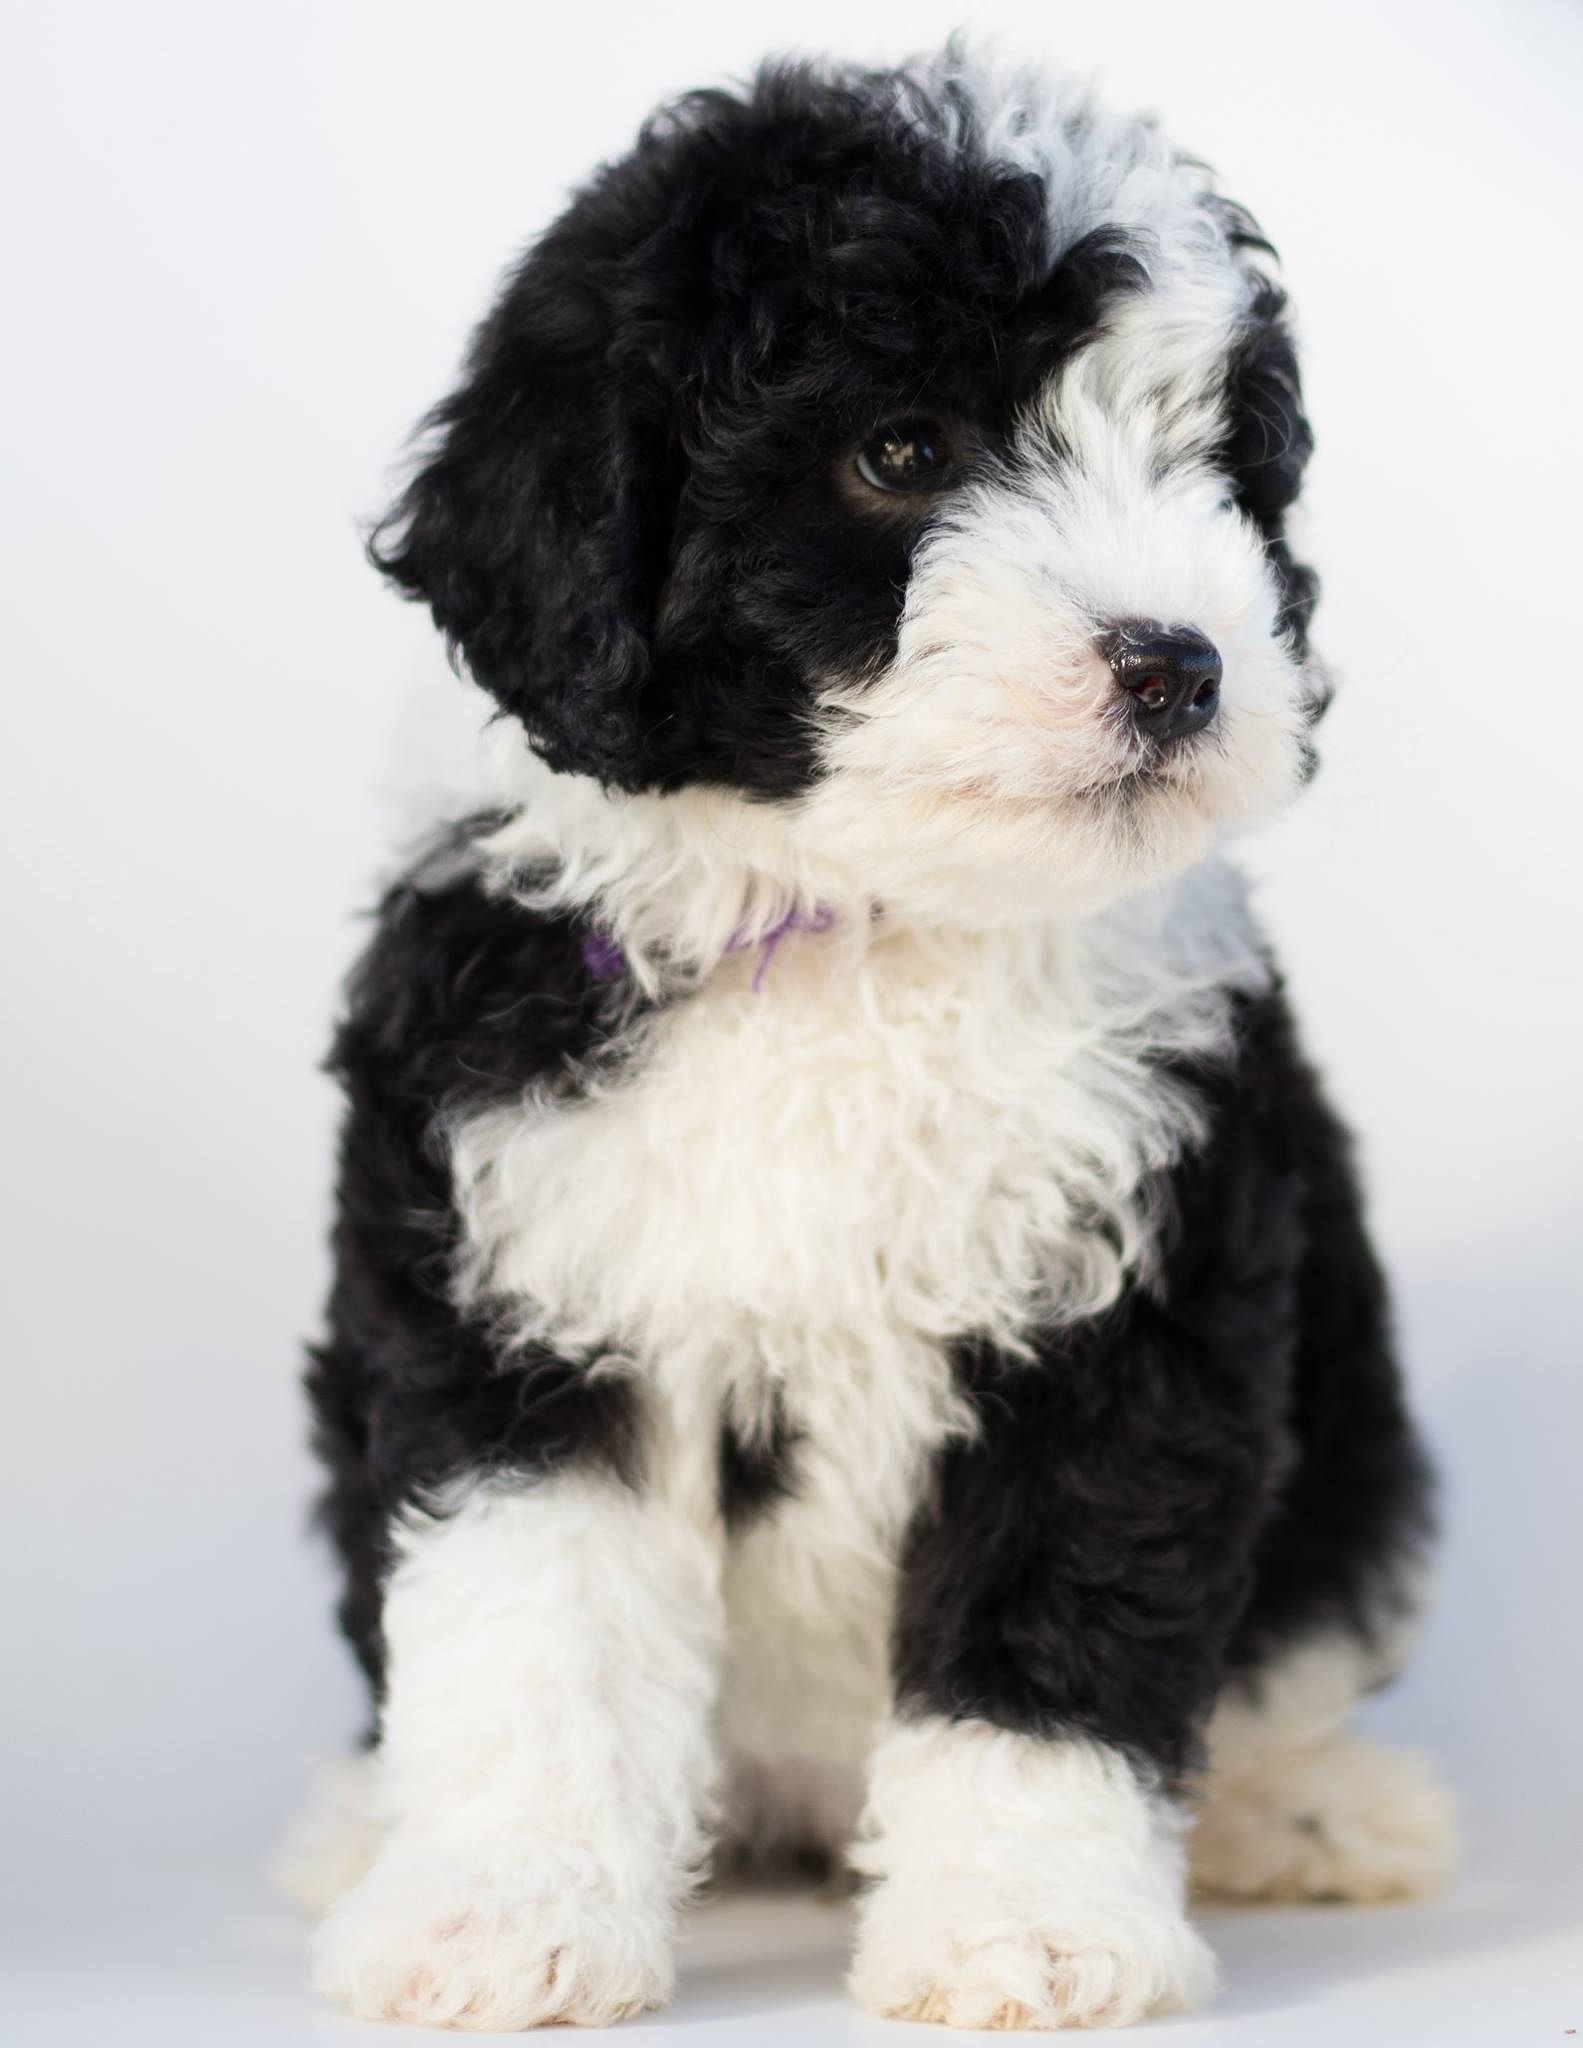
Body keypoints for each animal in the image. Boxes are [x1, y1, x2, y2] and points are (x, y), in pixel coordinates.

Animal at [286, 48, 1458, 2031]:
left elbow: (1050, 1637)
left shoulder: (1130, 1307)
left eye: (1211, 463)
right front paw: (499, 1915)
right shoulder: (510, 1297)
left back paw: (1311, 1812)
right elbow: (530, 1627)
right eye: (898, 452)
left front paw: (1026, 1933)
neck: (849, 923)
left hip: (1353, 1441)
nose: (1180, 665)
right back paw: (363, 1832)